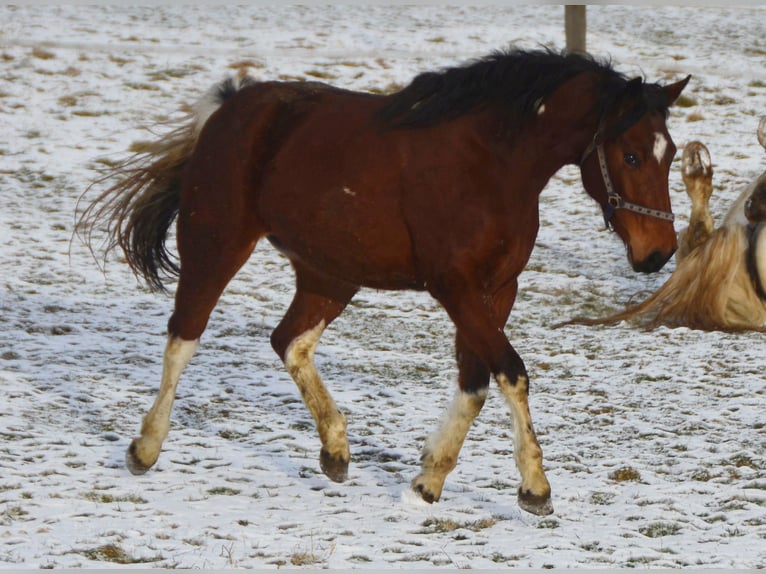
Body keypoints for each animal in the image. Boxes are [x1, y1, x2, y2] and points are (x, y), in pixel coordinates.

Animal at [78, 48, 688, 516]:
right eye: (631, 154)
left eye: (672, 154)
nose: (657, 253)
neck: (490, 165)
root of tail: (233, 107)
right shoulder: (455, 287)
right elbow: (510, 373)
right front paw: (535, 488)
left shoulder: (497, 290)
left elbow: (475, 381)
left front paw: (428, 482)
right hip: (216, 245)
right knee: (185, 334)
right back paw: (145, 448)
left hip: (330, 273)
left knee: (289, 341)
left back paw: (335, 450)